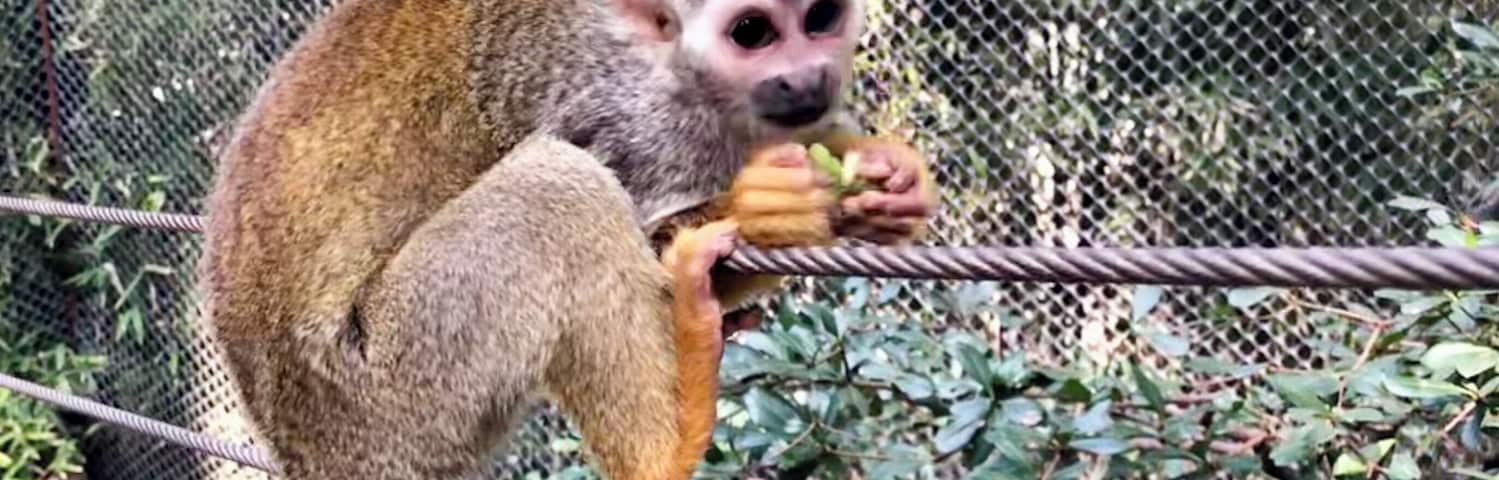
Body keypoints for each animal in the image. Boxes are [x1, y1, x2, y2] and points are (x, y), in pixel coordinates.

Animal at [196, 0, 936, 478]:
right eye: (752, 32)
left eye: (820, 19)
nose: (808, 79)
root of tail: (312, 455)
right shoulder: (617, 100)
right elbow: (646, 232)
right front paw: (770, 209)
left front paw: (884, 177)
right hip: (387, 387)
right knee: (558, 185)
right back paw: (664, 449)